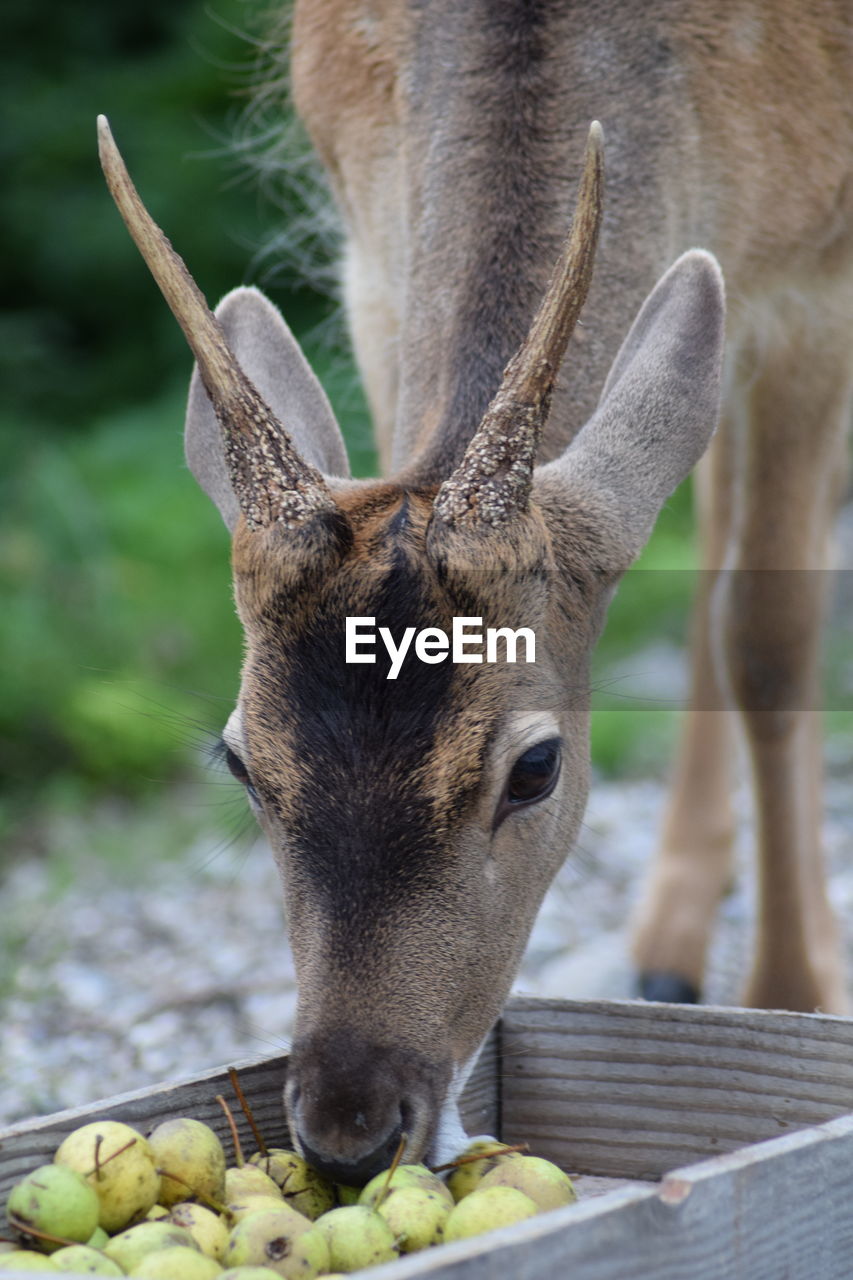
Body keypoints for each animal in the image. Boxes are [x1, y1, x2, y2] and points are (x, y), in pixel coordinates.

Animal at [96, 0, 845, 1182]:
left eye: (537, 769)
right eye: (241, 761)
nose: (350, 1129)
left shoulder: (817, 273)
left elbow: (770, 639)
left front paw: (792, 1000)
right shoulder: (365, 245)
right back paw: (667, 939)